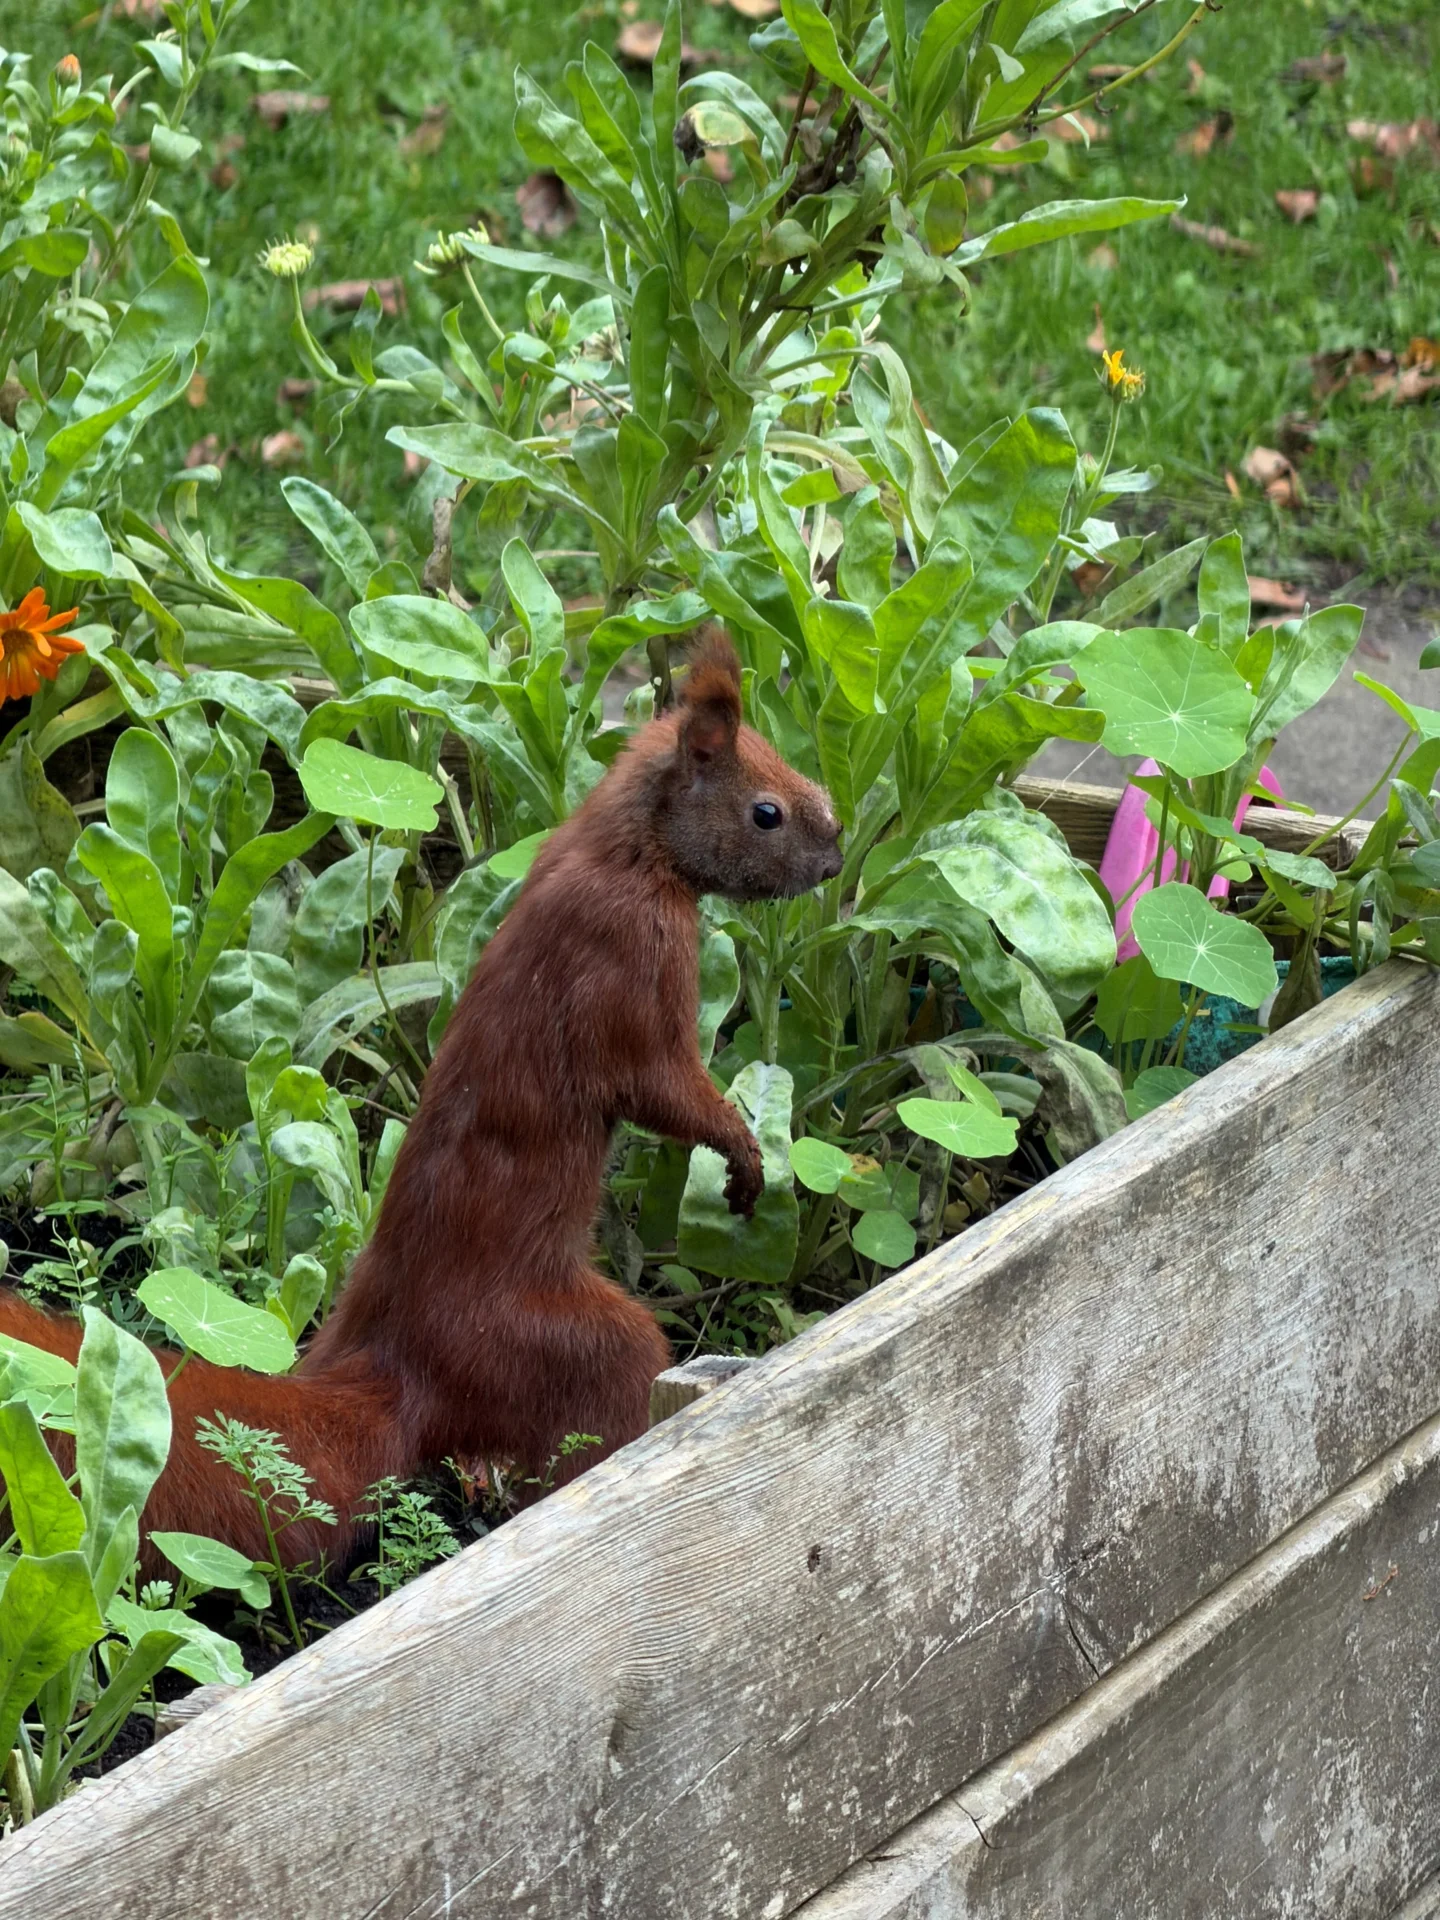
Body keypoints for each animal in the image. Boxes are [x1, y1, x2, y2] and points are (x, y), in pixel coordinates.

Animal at [0, 635, 842, 1569]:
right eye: (766, 812)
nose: (836, 858)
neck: (617, 850)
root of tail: (391, 1368)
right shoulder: (626, 964)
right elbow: (662, 1085)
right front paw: (743, 1158)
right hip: (579, 1345)